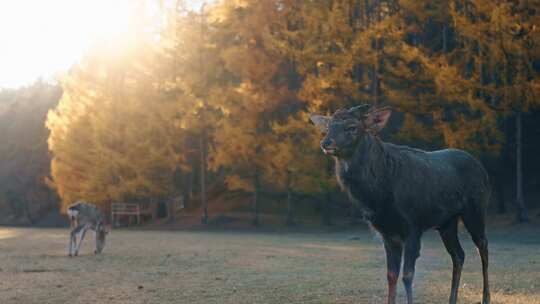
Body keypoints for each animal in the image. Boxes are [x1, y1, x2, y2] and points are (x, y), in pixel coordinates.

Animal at [310, 105, 492, 304]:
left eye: (352, 127)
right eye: (328, 127)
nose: (325, 142)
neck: (377, 197)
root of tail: (482, 169)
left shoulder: (413, 225)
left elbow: (407, 275)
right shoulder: (387, 233)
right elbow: (391, 275)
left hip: (475, 209)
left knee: (483, 246)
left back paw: (486, 297)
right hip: (447, 223)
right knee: (459, 255)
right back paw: (452, 299)